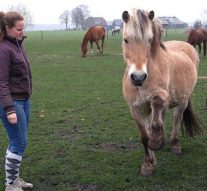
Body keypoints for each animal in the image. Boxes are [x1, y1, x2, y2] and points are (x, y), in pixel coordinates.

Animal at [121, 8, 204, 176]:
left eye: (149, 39)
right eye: (126, 40)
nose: (138, 77)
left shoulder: (161, 96)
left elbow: (157, 105)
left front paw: (156, 142)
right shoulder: (135, 109)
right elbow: (144, 136)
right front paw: (148, 164)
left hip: (183, 101)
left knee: (177, 119)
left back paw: (174, 144)